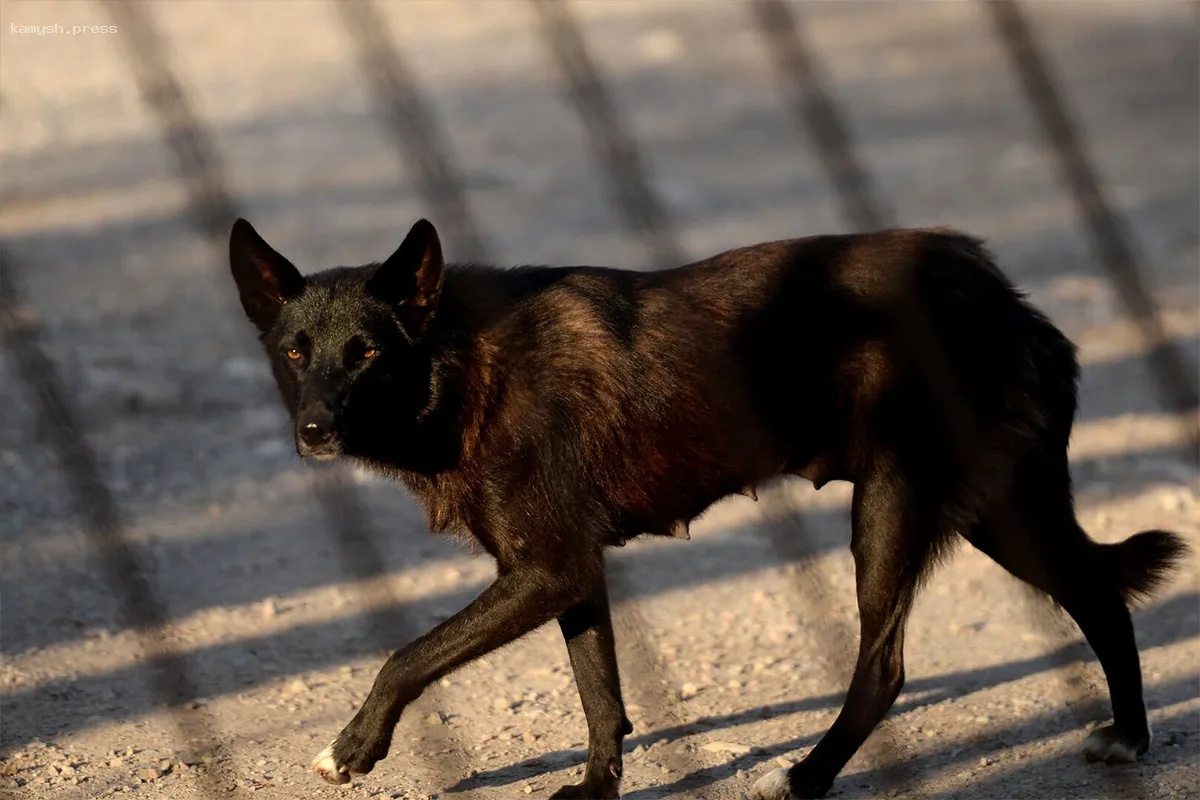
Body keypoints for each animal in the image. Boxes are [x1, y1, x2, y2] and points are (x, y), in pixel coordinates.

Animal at [229, 215, 1185, 796]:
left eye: (366, 352)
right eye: (296, 351)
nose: (313, 431)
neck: (461, 362)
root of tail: (1002, 293)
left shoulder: (546, 569)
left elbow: (407, 656)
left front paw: (353, 748)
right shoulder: (567, 574)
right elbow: (600, 694)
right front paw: (596, 788)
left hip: (894, 506)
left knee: (885, 666)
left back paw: (806, 776)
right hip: (1000, 512)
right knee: (1101, 597)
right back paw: (1130, 737)